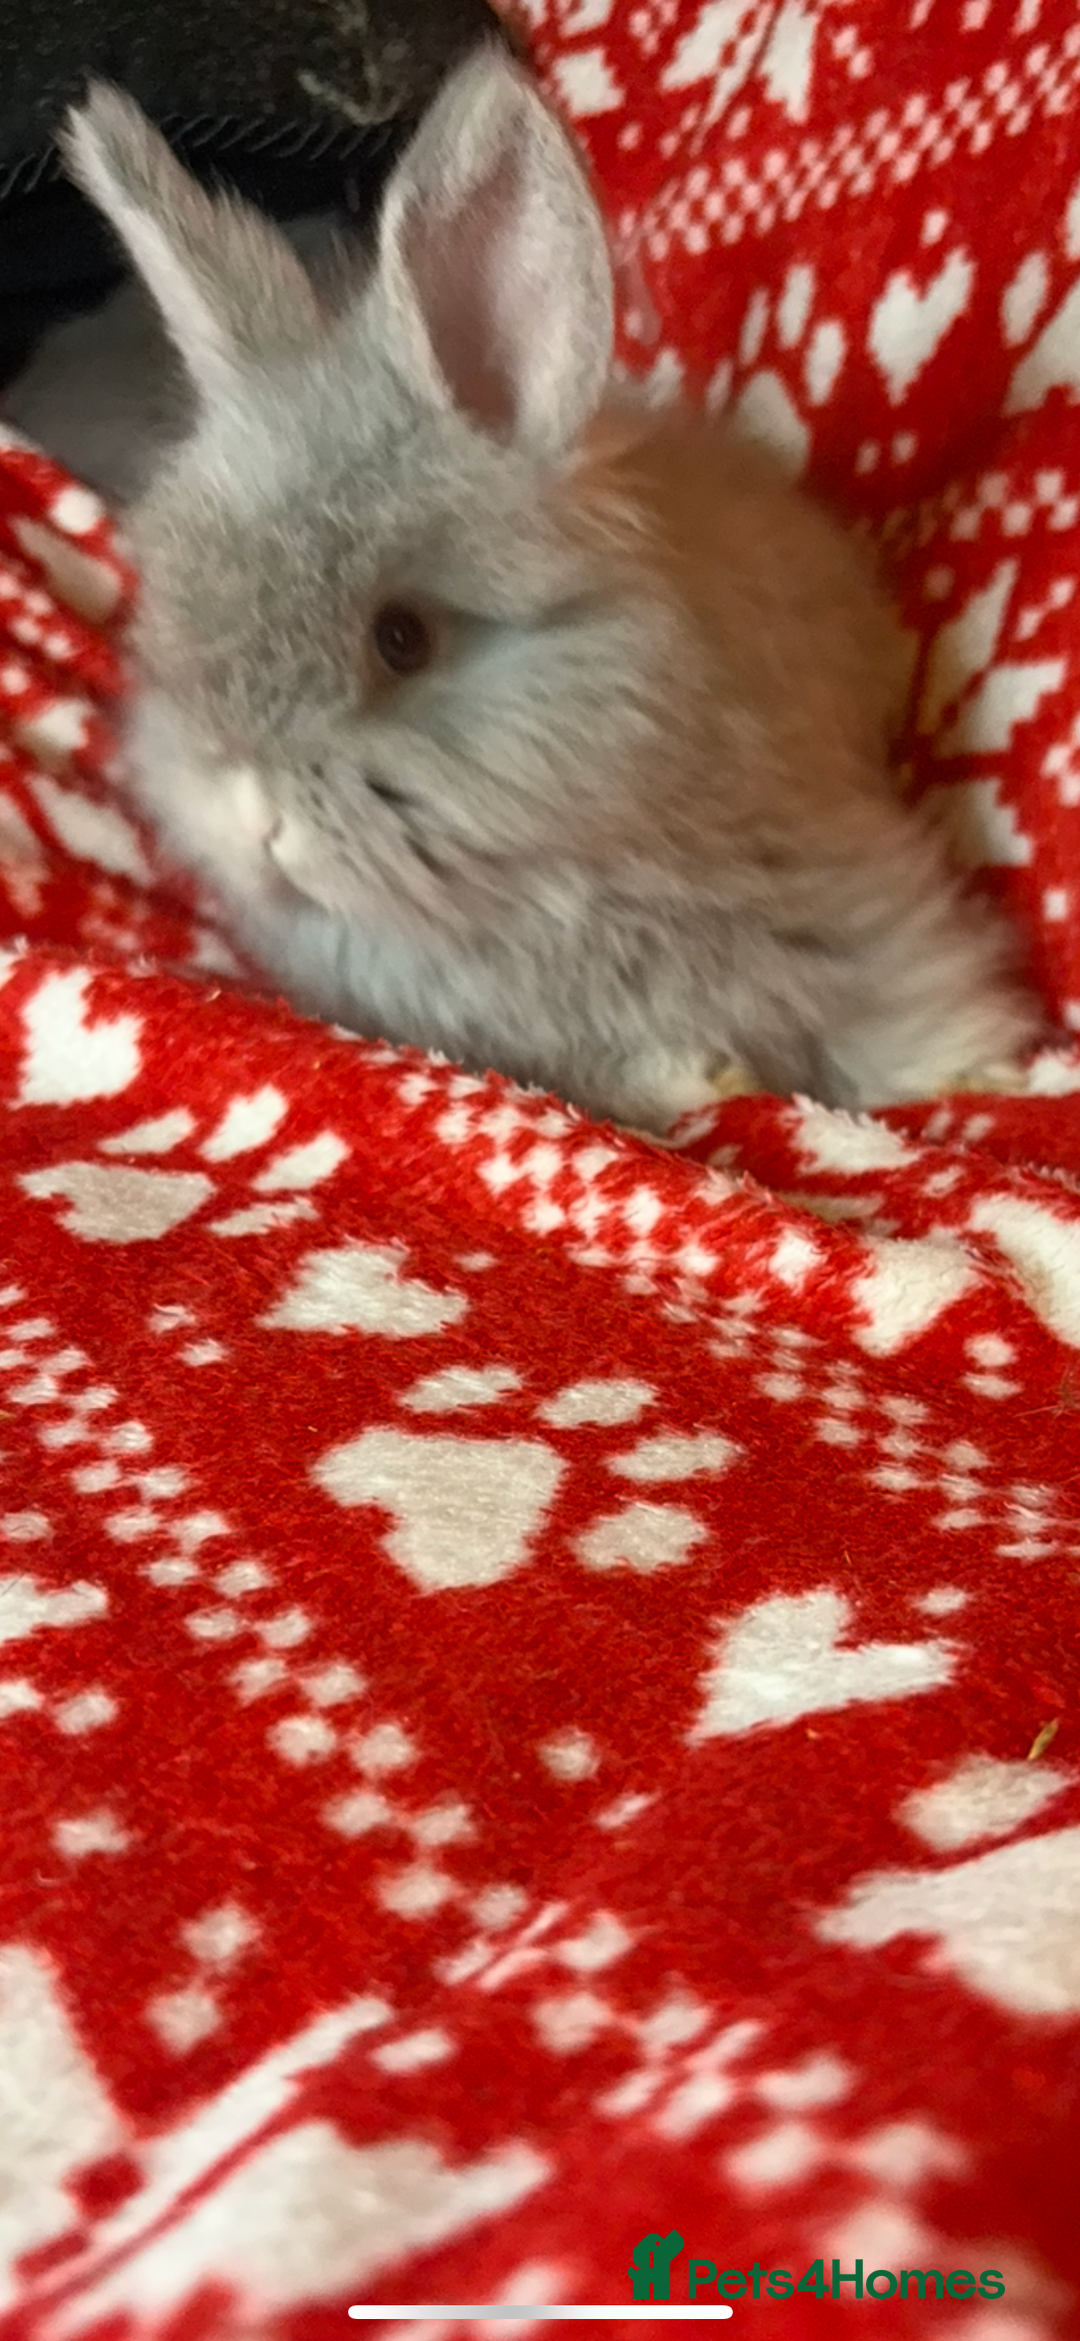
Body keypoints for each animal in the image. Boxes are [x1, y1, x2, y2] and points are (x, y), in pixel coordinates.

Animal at [21, 46, 1042, 1133]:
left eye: (401, 638)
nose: (243, 808)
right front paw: (699, 1072)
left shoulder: (857, 898)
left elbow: (905, 1011)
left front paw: (985, 1072)